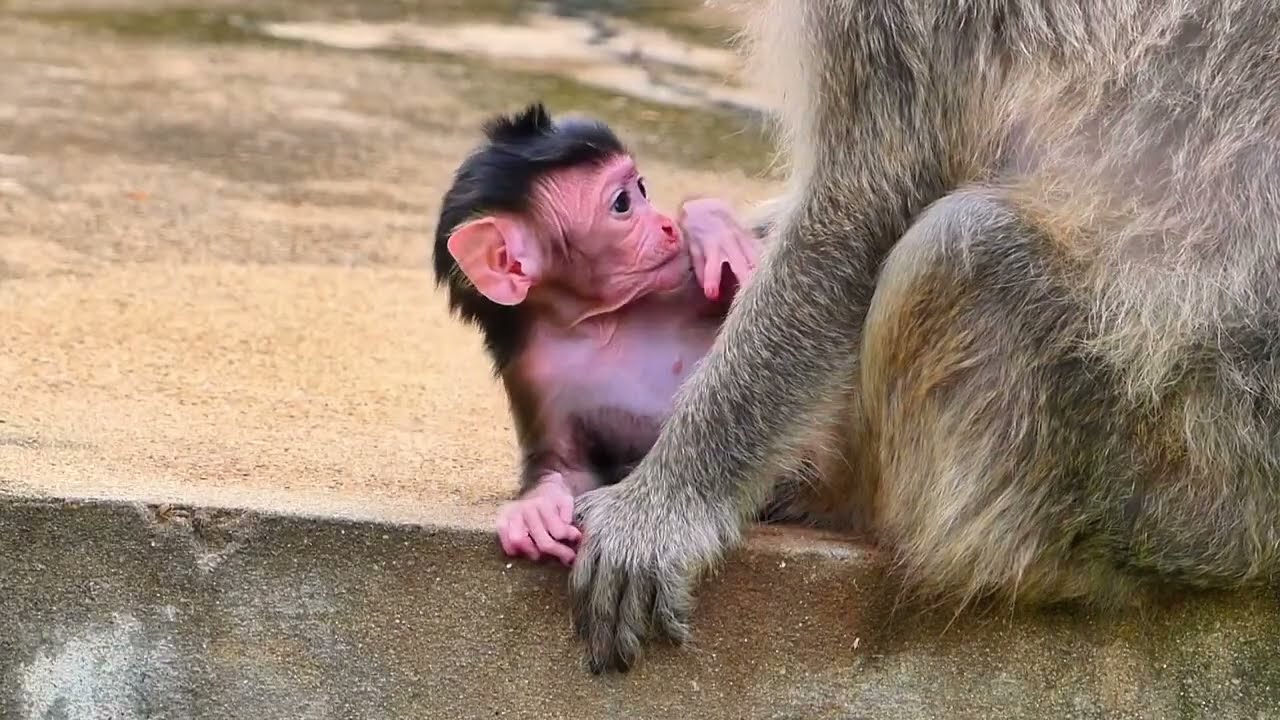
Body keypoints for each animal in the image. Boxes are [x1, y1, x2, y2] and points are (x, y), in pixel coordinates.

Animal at [432, 103, 851, 568]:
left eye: (643, 189)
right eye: (622, 203)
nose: (667, 225)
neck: (599, 321)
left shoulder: (683, 281)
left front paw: (712, 229)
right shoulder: (532, 369)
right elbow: (567, 465)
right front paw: (536, 510)